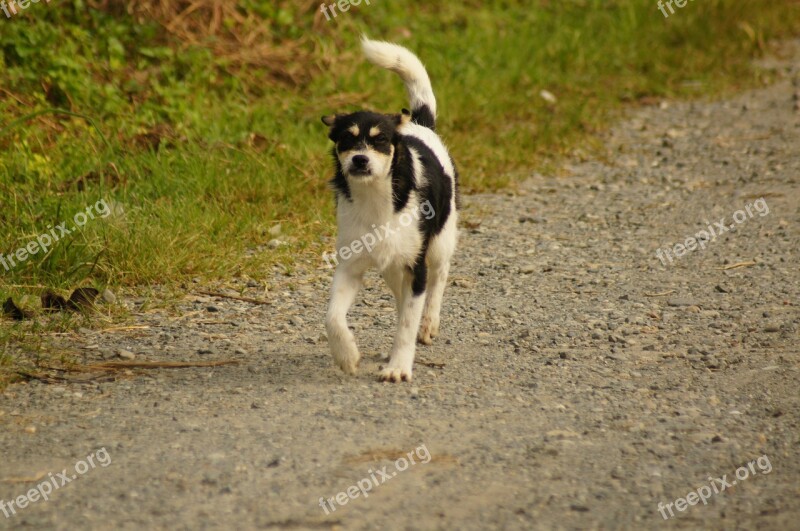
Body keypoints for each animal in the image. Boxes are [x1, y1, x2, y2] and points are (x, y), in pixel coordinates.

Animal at [322, 38, 460, 386]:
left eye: (381, 140)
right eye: (346, 140)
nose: (359, 160)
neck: (375, 199)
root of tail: (419, 124)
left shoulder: (416, 267)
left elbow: (407, 327)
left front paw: (399, 366)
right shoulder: (350, 266)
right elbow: (332, 317)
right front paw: (347, 356)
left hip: (439, 242)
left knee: (439, 278)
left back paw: (429, 322)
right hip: (391, 267)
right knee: (402, 298)